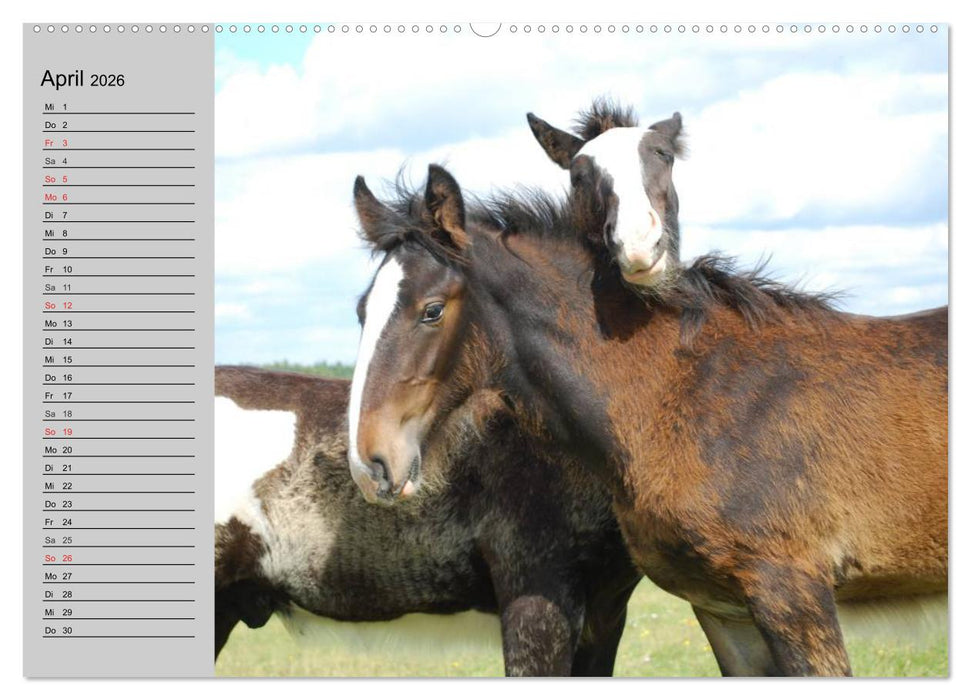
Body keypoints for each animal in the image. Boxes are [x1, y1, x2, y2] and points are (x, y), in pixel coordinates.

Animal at [346, 164, 947, 676]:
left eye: (431, 310)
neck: (683, 397)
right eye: (360, 311)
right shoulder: (725, 608)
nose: (370, 463)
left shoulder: (793, 592)